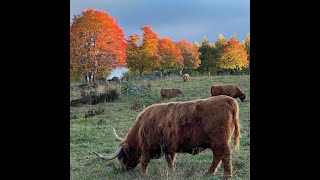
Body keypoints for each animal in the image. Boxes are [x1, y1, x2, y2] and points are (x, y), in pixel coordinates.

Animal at [94, 95, 239, 179]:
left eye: (122, 157)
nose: (125, 170)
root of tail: (227, 99)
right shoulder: (169, 148)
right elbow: (170, 161)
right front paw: (171, 172)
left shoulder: (147, 147)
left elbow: (145, 161)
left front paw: (143, 174)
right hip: (216, 142)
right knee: (218, 155)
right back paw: (209, 172)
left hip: (219, 140)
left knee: (224, 154)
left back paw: (226, 175)